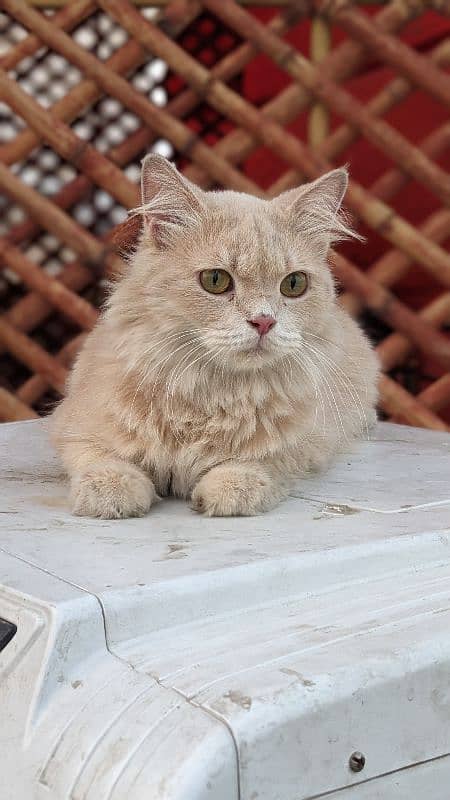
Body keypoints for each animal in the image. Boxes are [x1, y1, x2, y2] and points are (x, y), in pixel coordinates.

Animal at [51, 155, 378, 520]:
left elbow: (261, 462)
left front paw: (231, 489)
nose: (264, 321)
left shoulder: (309, 443)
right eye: (216, 280)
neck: (210, 393)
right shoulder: (74, 424)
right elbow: (101, 457)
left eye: (294, 284)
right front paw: (111, 489)